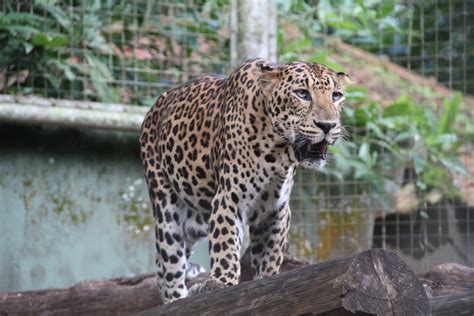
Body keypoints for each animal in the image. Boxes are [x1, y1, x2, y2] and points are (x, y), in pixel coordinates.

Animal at [139, 57, 350, 304]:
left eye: (336, 95)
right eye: (302, 94)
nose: (328, 125)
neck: (278, 152)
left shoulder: (275, 212)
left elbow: (269, 260)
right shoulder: (229, 201)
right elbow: (226, 249)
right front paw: (222, 284)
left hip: (193, 219)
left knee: (162, 263)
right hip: (167, 208)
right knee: (169, 265)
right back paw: (177, 298)